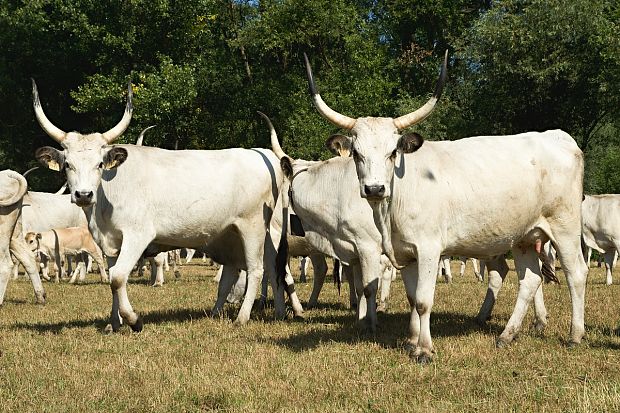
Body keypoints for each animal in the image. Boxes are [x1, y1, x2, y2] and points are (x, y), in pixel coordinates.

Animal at [32, 79, 286, 332]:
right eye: (67, 164)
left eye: (100, 164)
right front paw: (114, 323)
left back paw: (242, 317)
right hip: (234, 235)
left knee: (256, 269)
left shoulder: (138, 235)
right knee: (259, 269)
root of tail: (263, 154)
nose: (84, 194)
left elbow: (118, 277)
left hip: (252, 227)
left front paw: (134, 320)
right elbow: (114, 278)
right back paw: (270, 312)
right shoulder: (111, 242)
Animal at [302, 50, 588, 360]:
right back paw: (507, 335)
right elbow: (412, 298)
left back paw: (575, 336)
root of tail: (558, 137)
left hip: (565, 226)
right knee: (531, 280)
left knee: (576, 273)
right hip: (524, 235)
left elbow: (424, 300)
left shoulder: (429, 249)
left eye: (393, 153)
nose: (375, 188)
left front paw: (425, 349)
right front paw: (411, 341)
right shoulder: (406, 252)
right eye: (356, 153)